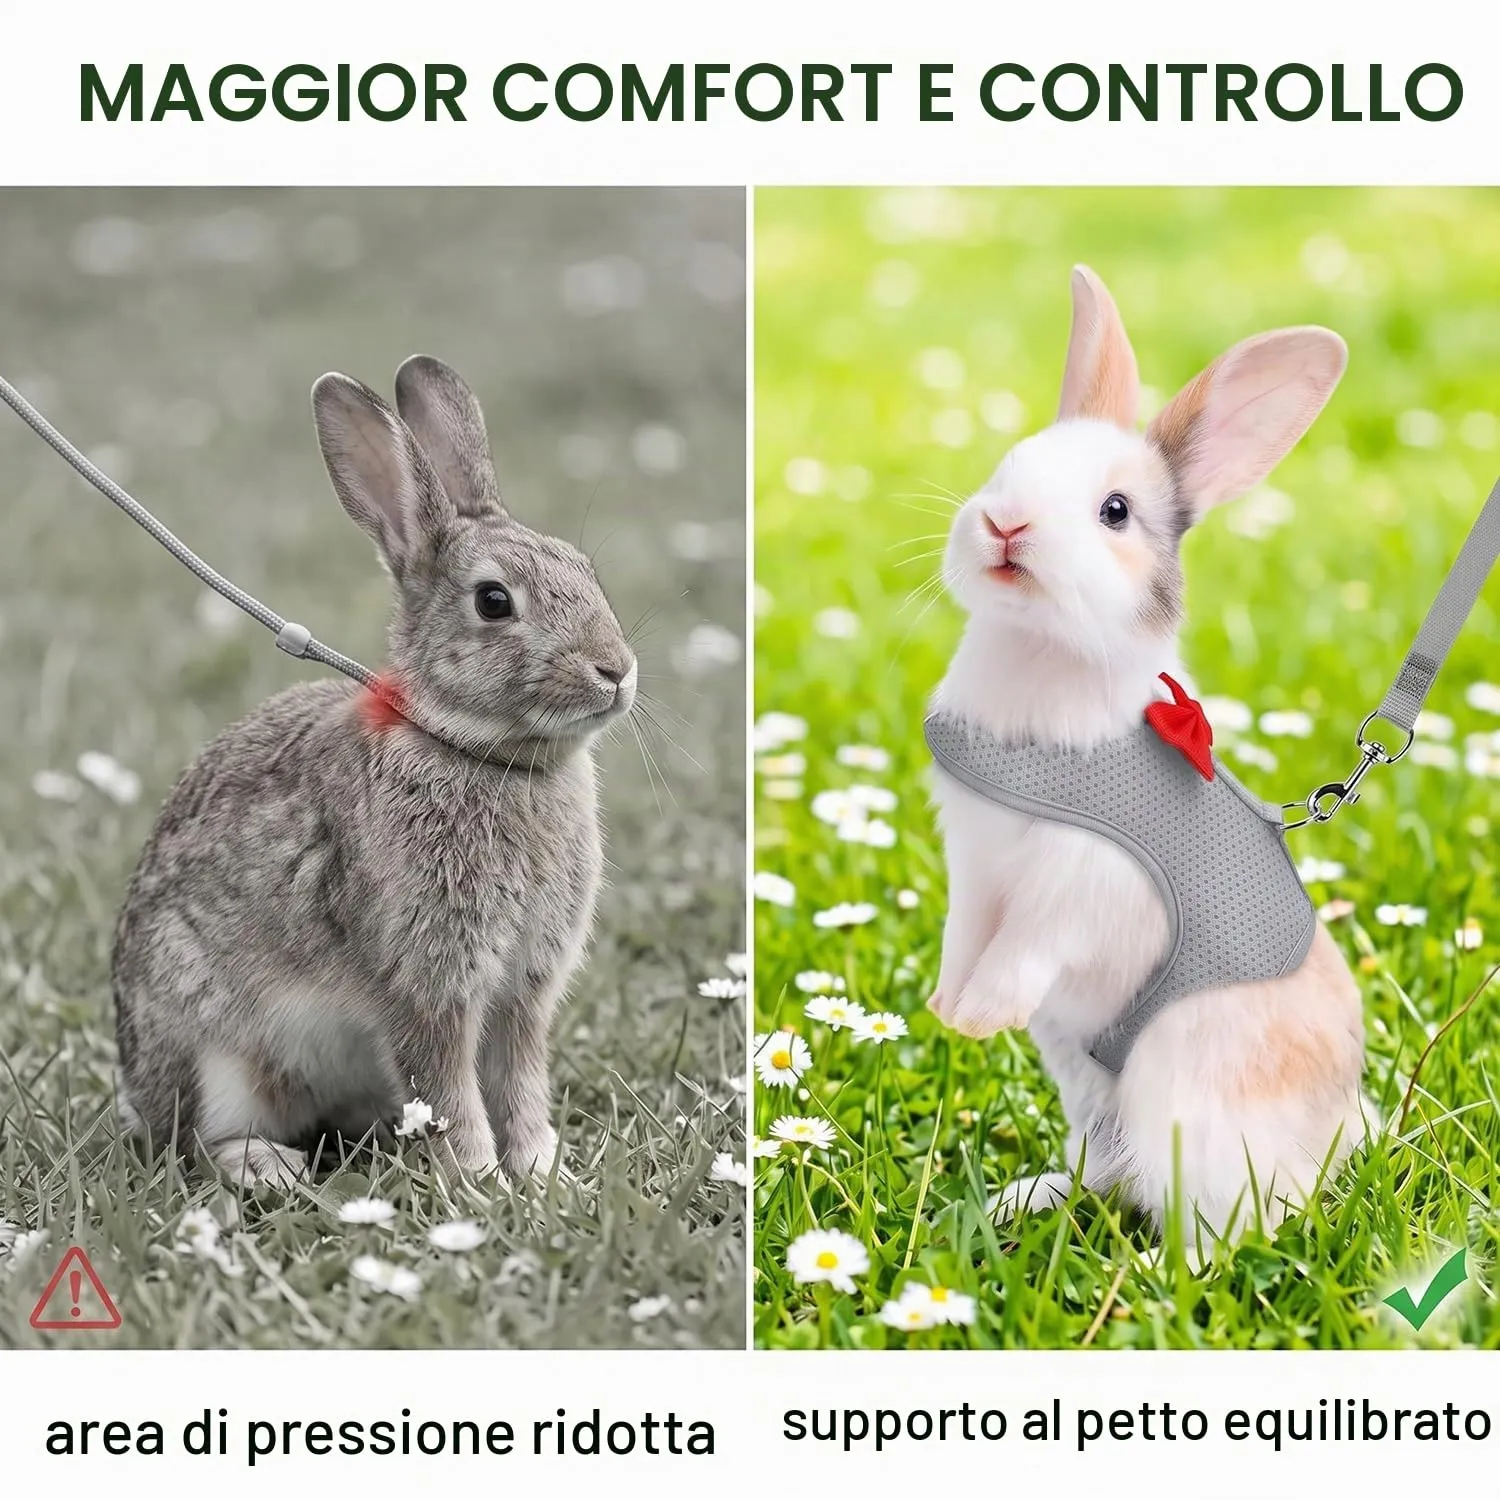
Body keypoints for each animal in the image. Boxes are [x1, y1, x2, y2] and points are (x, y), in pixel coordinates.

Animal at [112, 355, 637, 1187]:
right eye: (494, 601)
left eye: (585, 570)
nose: (615, 670)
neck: (478, 751)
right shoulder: (424, 983)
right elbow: (448, 1084)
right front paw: (480, 1178)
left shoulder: (523, 991)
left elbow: (519, 1081)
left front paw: (540, 1170)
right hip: (213, 1051)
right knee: (196, 1142)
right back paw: (268, 1167)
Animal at [926, 265, 1368, 1238]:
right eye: (1007, 466)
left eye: (1115, 512)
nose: (1005, 525)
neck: (1044, 651)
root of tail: (1328, 1146)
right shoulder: (976, 866)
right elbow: (965, 934)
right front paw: (946, 1005)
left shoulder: (1079, 883)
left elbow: (1024, 946)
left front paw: (979, 1016)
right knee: (1114, 1168)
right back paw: (1027, 1200)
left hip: (1184, 1096)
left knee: (1217, 1218)